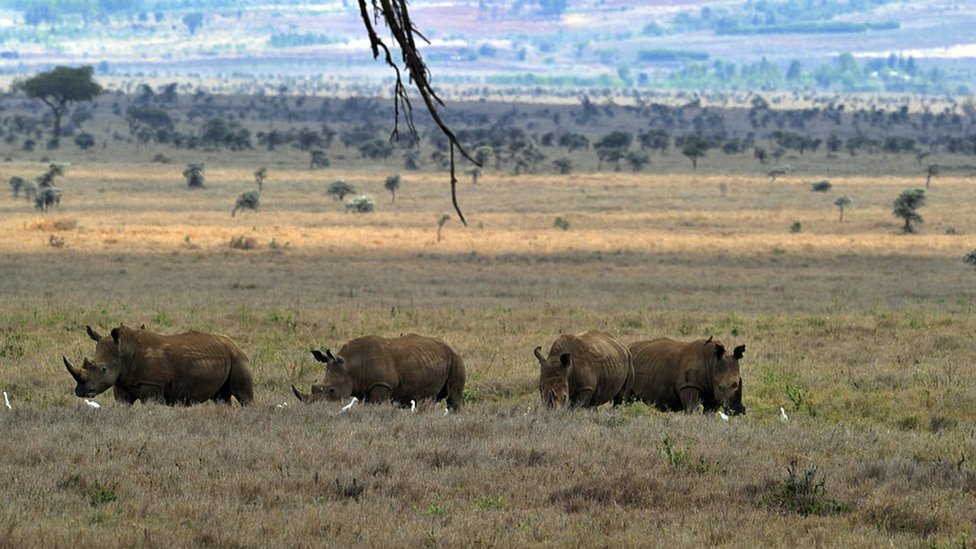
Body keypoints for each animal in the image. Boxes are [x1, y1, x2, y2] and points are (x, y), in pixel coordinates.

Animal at [62, 325, 254, 406]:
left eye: (103, 369)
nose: (81, 392)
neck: (124, 351)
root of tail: (236, 344)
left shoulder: (152, 385)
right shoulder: (121, 382)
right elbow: (123, 404)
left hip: (238, 359)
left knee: (243, 396)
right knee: (221, 397)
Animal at [291, 334, 466, 411]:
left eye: (332, 390)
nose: (316, 408)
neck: (350, 365)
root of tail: (453, 348)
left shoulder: (381, 384)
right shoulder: (364, 388)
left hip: (456, 360)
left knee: (453, 398)